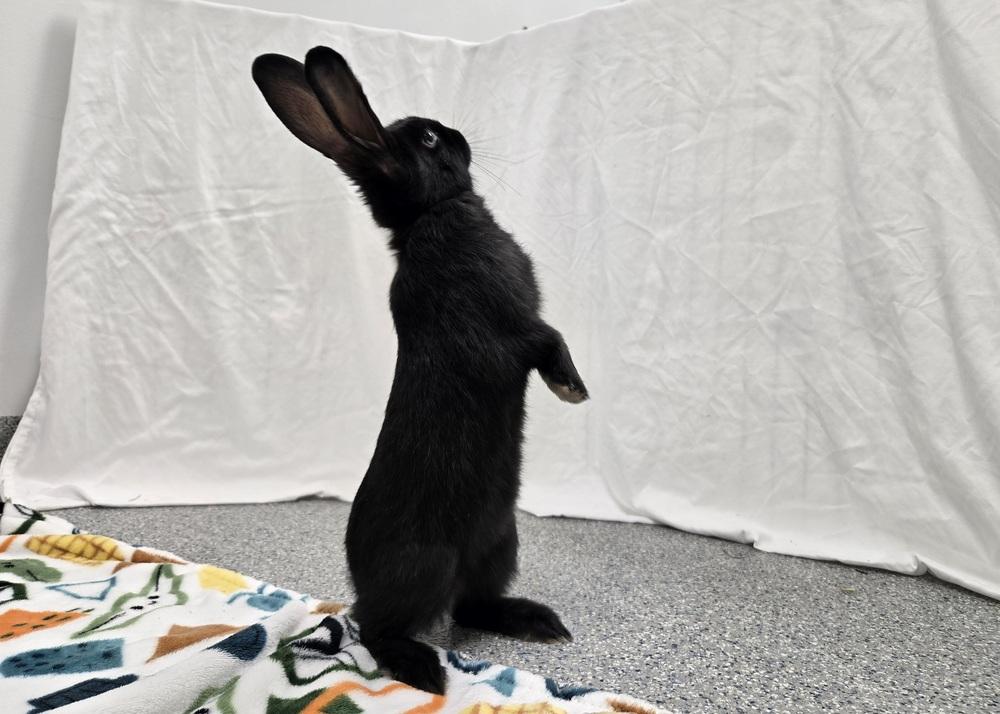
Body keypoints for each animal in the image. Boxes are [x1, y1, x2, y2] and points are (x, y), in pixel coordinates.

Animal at [252, 46, 589, 695]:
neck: (431, 215)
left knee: (471, 605)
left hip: (500, 543)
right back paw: (424, 668)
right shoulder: (514, 326)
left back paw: (535, 622)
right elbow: (550, 341)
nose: (459, 134)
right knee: (377, 627)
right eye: (430, 139)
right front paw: (573, 390)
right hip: (426, 566)